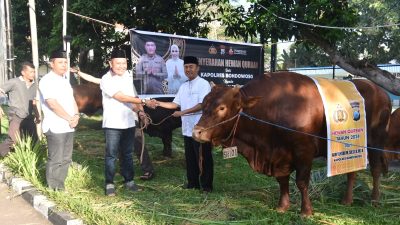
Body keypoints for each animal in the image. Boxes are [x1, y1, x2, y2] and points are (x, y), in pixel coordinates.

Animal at [194, 72, 390, 216]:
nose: (197, 131)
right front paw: (282, 206)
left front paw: (306, 211)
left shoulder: (304, 151)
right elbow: (282, 180)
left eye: (222, 107)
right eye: (203, 104)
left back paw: (375, 200)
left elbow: (302, 182)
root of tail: (380, 91)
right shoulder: (279, 156)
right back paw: (347, 200)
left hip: (376, 141)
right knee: (352, 170)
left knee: (376, 169)